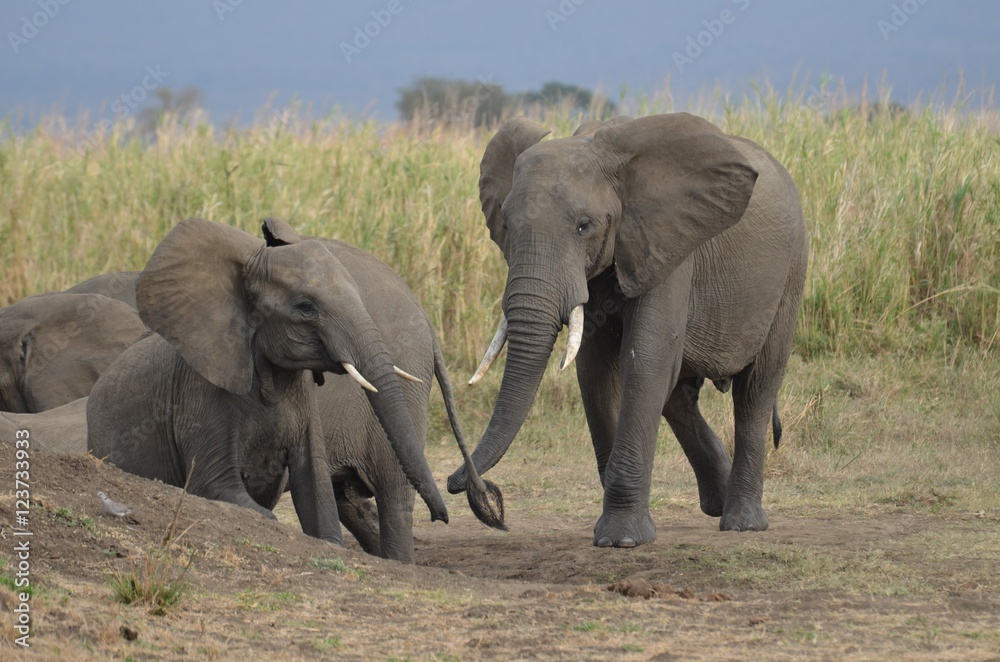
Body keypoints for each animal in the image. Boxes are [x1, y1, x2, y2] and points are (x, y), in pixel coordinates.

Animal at [448, 113, 808, 548]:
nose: (485, 500)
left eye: (583, 226)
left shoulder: (668, 246)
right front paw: (611, 532)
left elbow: (646, 359)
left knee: (756, 388)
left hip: (791, 273)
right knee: (678, 396)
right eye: (505, 223)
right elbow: (597, 372)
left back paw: (743, 523)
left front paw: (620, 540)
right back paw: (718, 502)